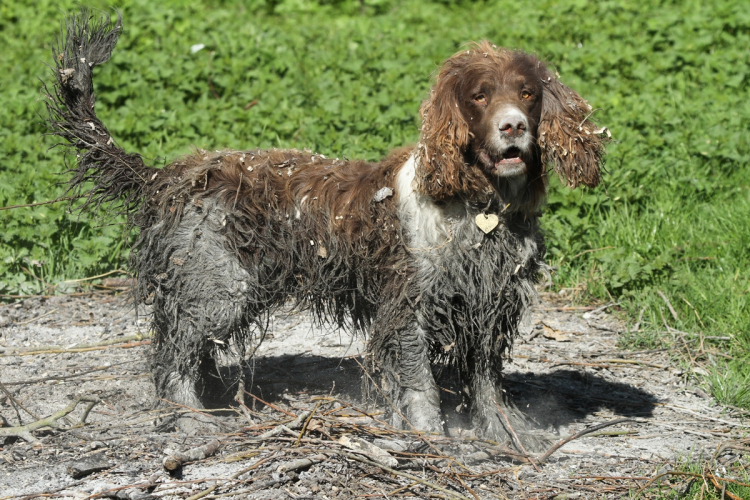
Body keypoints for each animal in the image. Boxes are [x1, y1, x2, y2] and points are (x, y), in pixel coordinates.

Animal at [44, 8, 608, 446]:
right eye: (479, 96)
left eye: (528, 93)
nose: (513, 125)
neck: (478, 207)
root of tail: (166, 175)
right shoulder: (410, 307)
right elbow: (420, 385)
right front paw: (430, 437)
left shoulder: (489, 305)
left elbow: (488, 383)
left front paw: (505, 434)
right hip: (215, 288)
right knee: (171, 357)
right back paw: (192, 421)